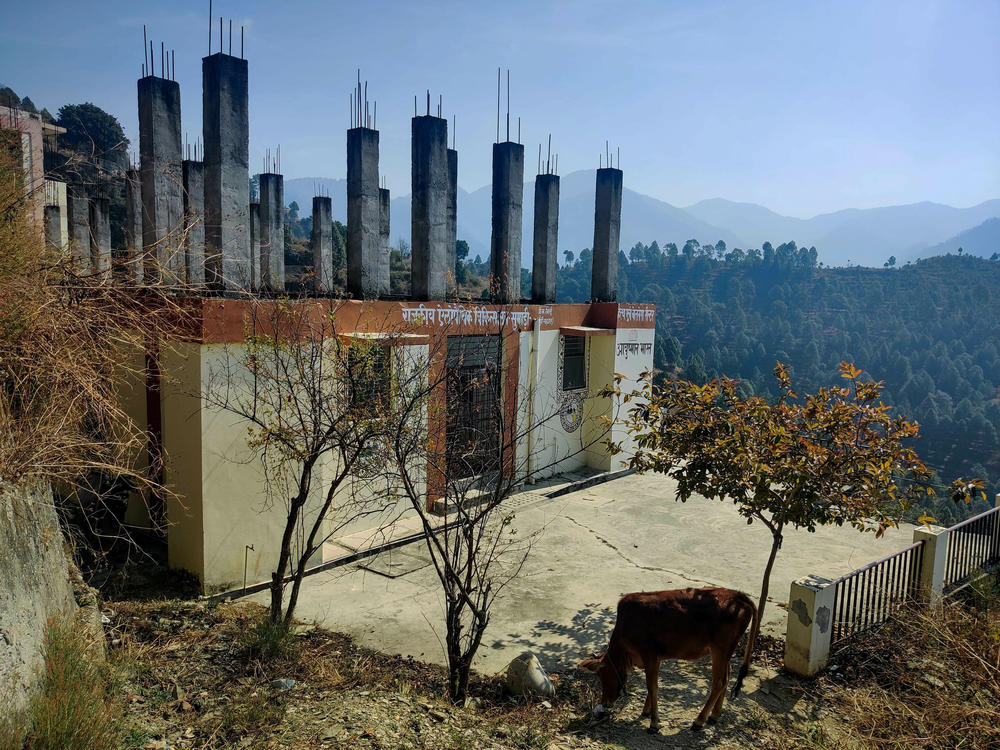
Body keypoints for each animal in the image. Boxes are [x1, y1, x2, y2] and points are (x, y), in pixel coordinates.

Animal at [580, 588, 756, 736]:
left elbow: (652, 687)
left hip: (720, 649)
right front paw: (646, 711)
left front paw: (653, 724)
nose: (605, 703)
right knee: (728, 676)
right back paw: (714, 715)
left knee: (719, 682)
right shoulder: (656, 658)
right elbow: (652, 687)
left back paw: (698, 721)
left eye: (603, 676)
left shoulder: (649, 655)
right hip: (723, 652)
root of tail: (739, 595)